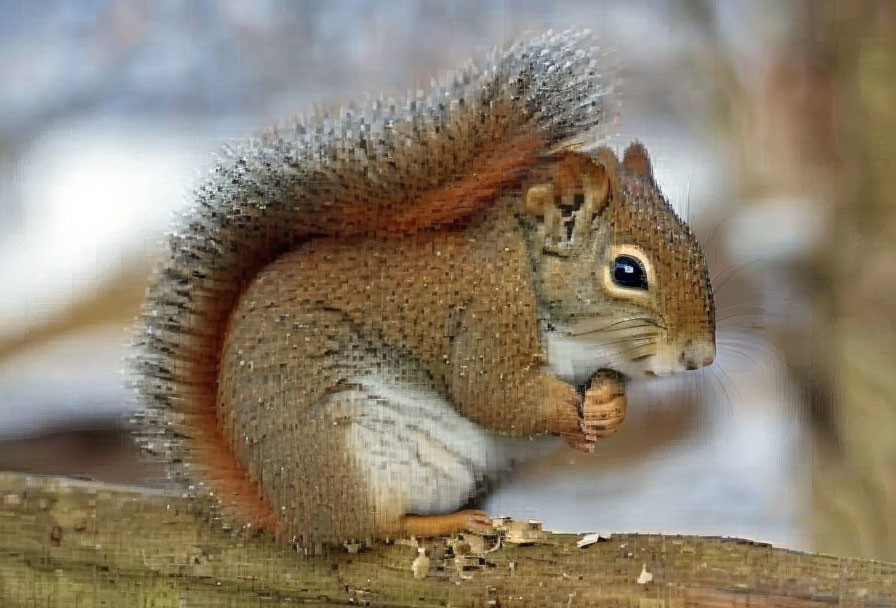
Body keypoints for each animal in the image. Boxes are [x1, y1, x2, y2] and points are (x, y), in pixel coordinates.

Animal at [131, 30, 712, 544]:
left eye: (694, 246)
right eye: (627, 272)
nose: (699, 357)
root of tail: (286, 514)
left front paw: (609, 406)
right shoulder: (487, 316)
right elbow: (492, 394)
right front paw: (567, 410)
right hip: (351, 459)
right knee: (375, 529)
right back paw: (444, 524)